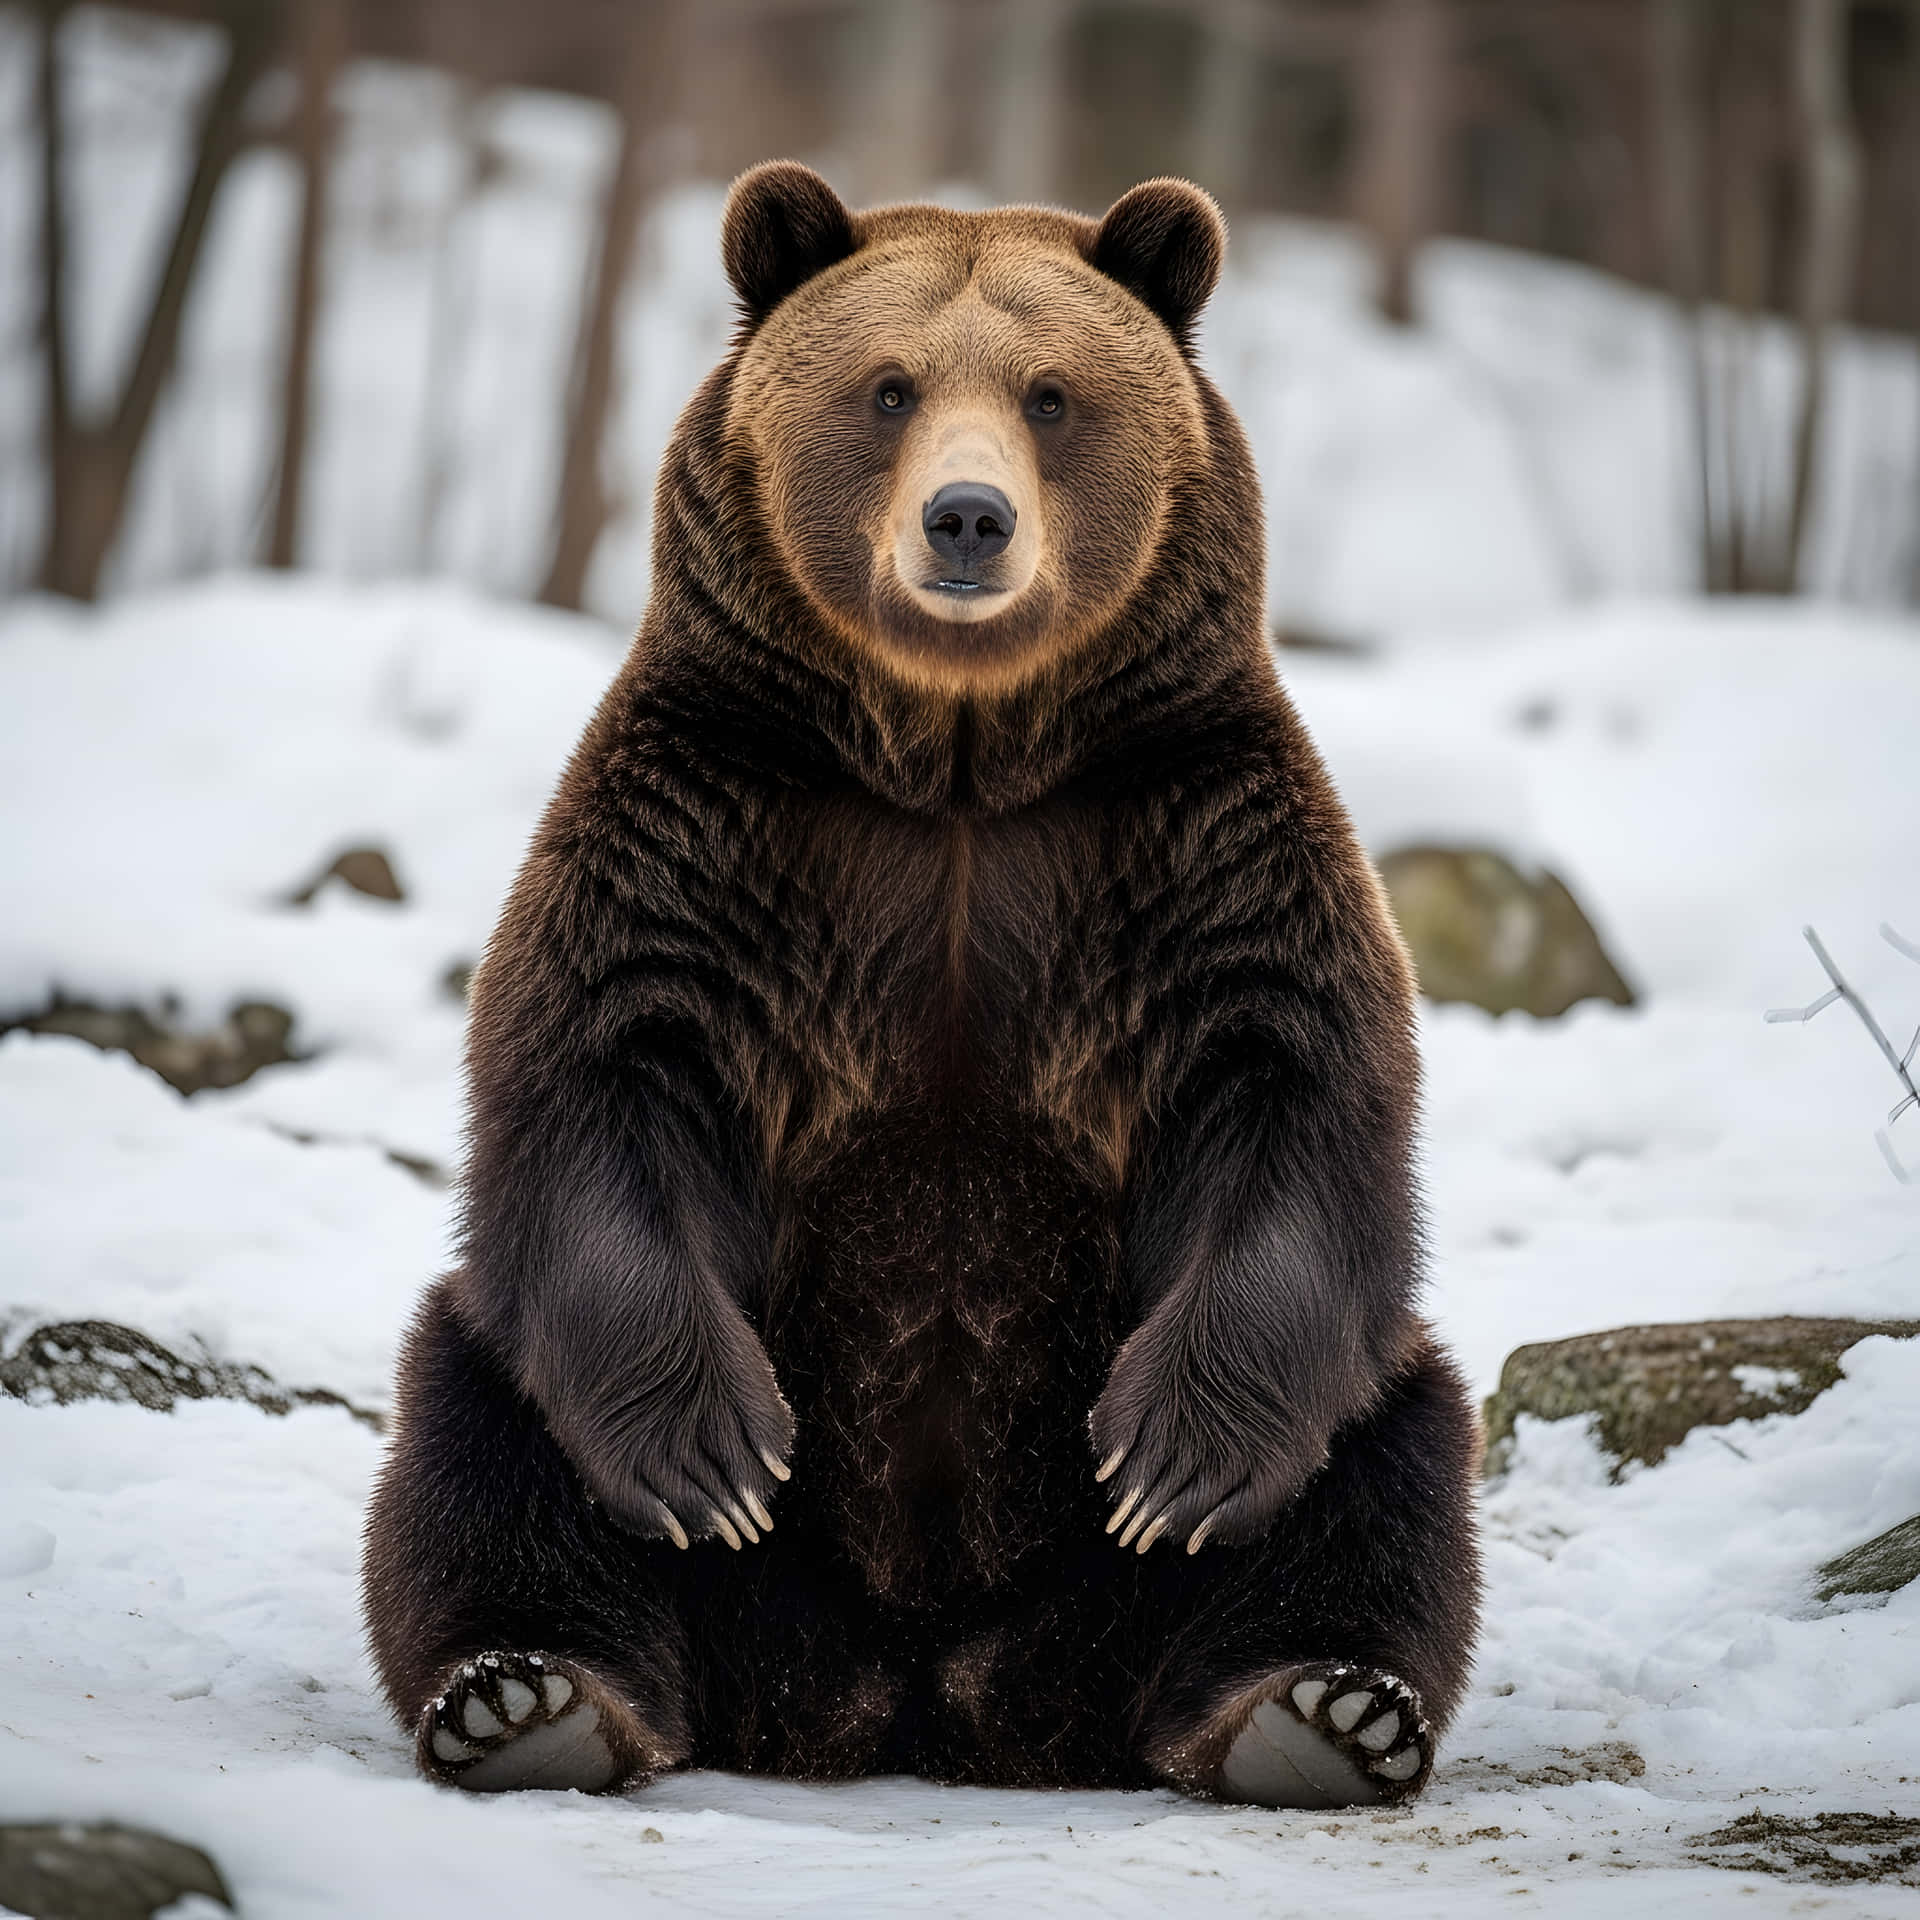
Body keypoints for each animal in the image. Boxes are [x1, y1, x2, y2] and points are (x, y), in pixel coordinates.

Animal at [361, 161, 1482, 1809]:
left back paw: (1318, 1711)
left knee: (1391, 1455)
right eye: (888, 388)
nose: (968, 518)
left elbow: (1295, 1090)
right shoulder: (717, 827)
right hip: (642, 1494)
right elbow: (602, 1070)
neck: (956, 752)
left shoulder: (1189, 840)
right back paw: (529, 1696)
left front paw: (1169, 1462)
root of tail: (919, 1692)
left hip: (1172, 1553)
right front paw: (716, 1454)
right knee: (475, 1430)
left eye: (1053, 395)